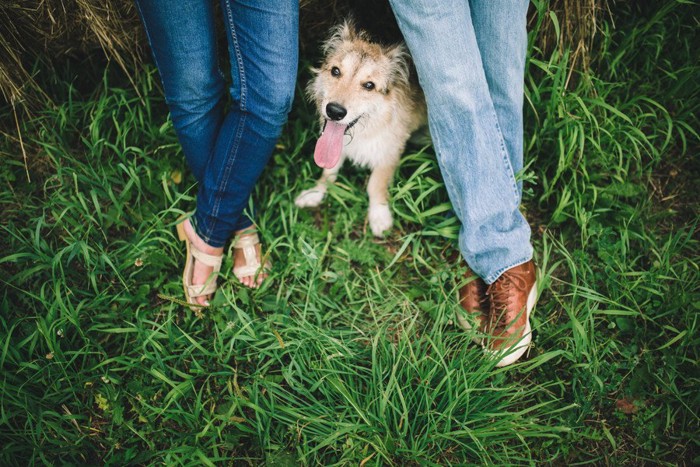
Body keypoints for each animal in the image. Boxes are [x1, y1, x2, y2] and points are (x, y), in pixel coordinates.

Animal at [296, 19, 426, 238]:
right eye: (335, 71)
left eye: (369, 85)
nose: (334, 111)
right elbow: (328, 173)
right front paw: (315, 193)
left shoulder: (390, 151)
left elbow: (376, 184)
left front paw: (379, 214)